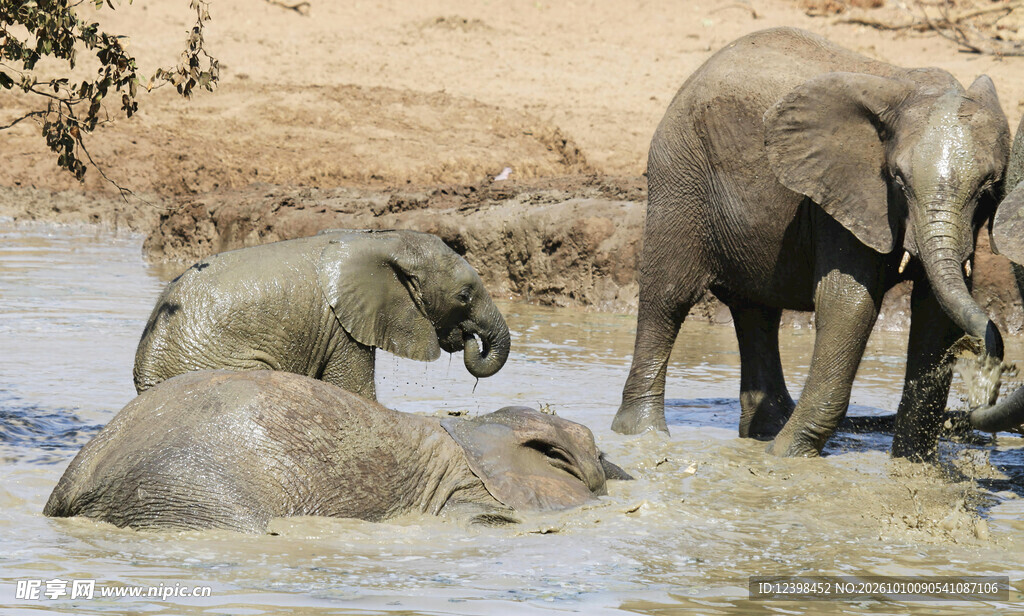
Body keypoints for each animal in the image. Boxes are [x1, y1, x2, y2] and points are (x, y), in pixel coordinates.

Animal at [612, 27, 1024, 459]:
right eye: (897, 180)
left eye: (989, 188)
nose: (993, 362)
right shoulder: (841, 198)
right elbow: (849, 306)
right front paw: (785, 460)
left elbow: (936, 315)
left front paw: (911, 466)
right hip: (680, 173)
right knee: (668, 298)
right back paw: (643, 436)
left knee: (757, 312)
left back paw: (764, 431)